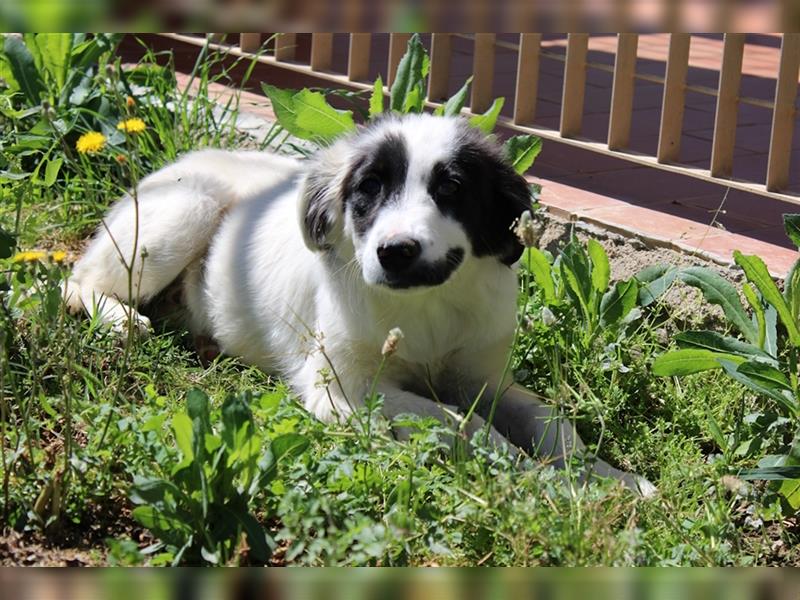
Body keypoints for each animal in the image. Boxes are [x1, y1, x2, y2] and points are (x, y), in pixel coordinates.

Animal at [65, 113, 656, 496]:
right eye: (368, 187)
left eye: (451, 188)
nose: (395, 252)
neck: (427, 308)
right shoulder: (343, 387)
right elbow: (457, 421)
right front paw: (531, 476)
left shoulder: (485, 377)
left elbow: (553, 421)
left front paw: (610, 477)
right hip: (185, 210)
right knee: (77, 282)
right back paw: (120, 319)